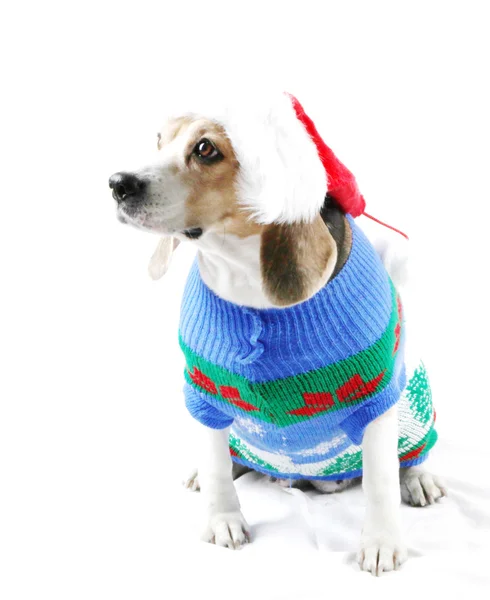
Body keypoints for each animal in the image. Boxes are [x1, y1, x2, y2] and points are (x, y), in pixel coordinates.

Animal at [109, 92, 446, 576]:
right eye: (158, 139)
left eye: (206, 149)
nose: (118, 183)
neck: (247, 283)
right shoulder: (203, 394)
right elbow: (216, 467)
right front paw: (223, 519)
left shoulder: (376, 398)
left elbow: (380, 480)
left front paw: (381, 541)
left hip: (415, 399)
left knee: (412, 452)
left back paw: (418, 477)